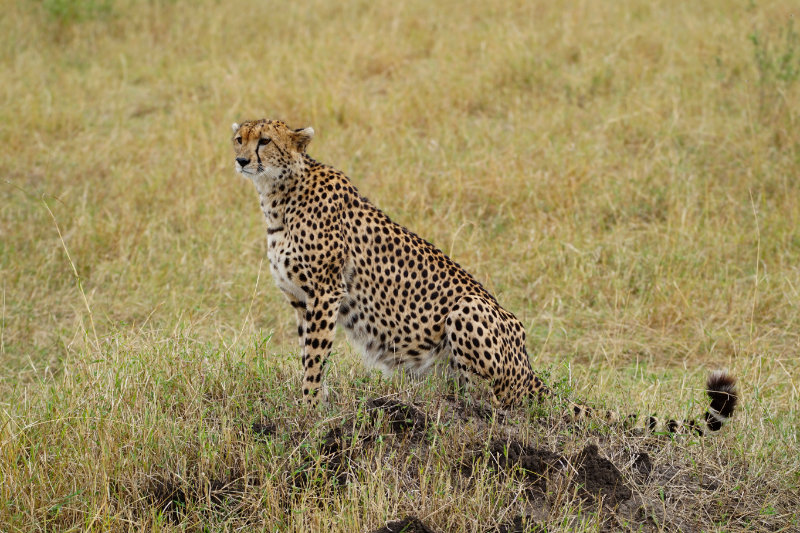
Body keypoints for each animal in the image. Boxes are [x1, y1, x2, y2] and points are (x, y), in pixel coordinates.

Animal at [230, 118, 738, 435]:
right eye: (240, 139)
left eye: (265, 141)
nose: (240, 161)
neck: (278, 193)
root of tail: (528, 367)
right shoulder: (302, 300)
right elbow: (306, 356)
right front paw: (304, 404)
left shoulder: (324, 294)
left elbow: (314, 361)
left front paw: (306, 410)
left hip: (468, 308)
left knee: (502, 403)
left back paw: (466, 410)